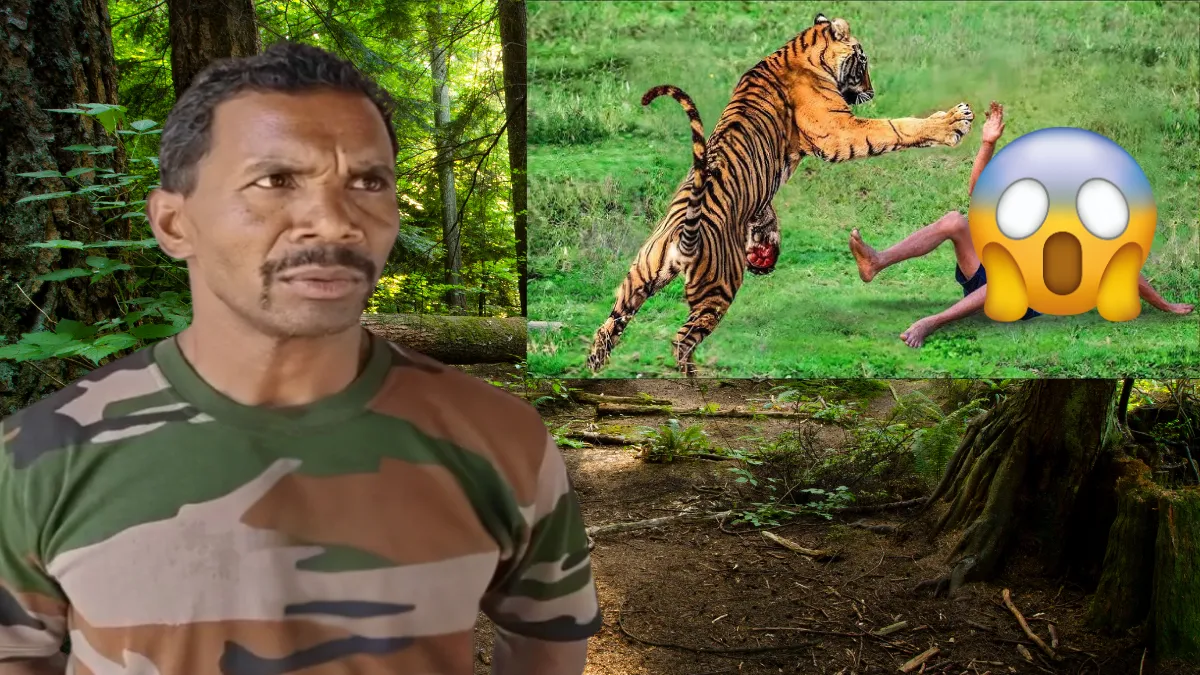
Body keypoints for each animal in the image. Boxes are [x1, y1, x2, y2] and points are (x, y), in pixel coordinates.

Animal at [585, 13, 975, 377]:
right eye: (862, 61)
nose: (872, 90)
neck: (799, 51)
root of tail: (684, 238)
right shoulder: (839, 130)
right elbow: (895, 128)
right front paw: (954, 122)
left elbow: (766, 215)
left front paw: (765, 246)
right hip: (718, 289)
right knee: (681, 341)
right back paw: (695, 377)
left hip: (638, 277)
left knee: (610, 324)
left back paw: (594, 366)